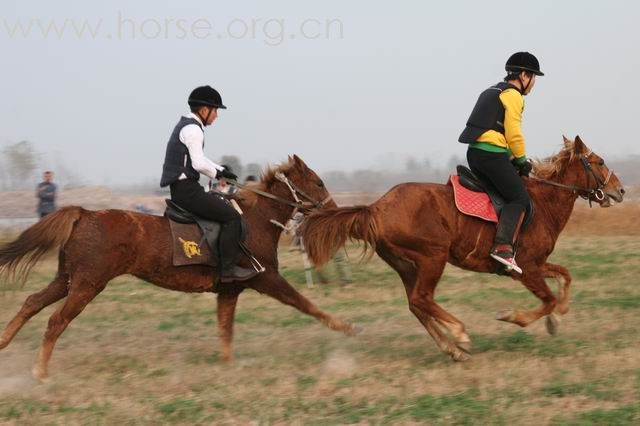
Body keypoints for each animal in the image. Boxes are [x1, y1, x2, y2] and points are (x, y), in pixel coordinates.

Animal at [0, 156, 360, 380]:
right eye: (317, 181)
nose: (334, 209)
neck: (255, 220)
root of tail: (84, 214)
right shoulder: (267, 278)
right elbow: (306, 304)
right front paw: (345, 327)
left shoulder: (229, 291)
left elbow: (225, 330)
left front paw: (227, 365)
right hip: (87, 284)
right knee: (56, 320)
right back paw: (39, 372)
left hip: (67, 279)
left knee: (32, 302)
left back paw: (4, 343)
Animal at [304, 137, 624, 362]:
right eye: (598, 162)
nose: (620, 191)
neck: (543, 203)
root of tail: (376, 208)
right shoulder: (526, 269)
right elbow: (548, 299)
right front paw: (514, 317)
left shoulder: (536, 265)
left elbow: (565, 277)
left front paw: (557, 319)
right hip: (433, 257)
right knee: (422, 298)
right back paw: (460, 335)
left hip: (407, 265)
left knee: (416, 304)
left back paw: (452, 348)